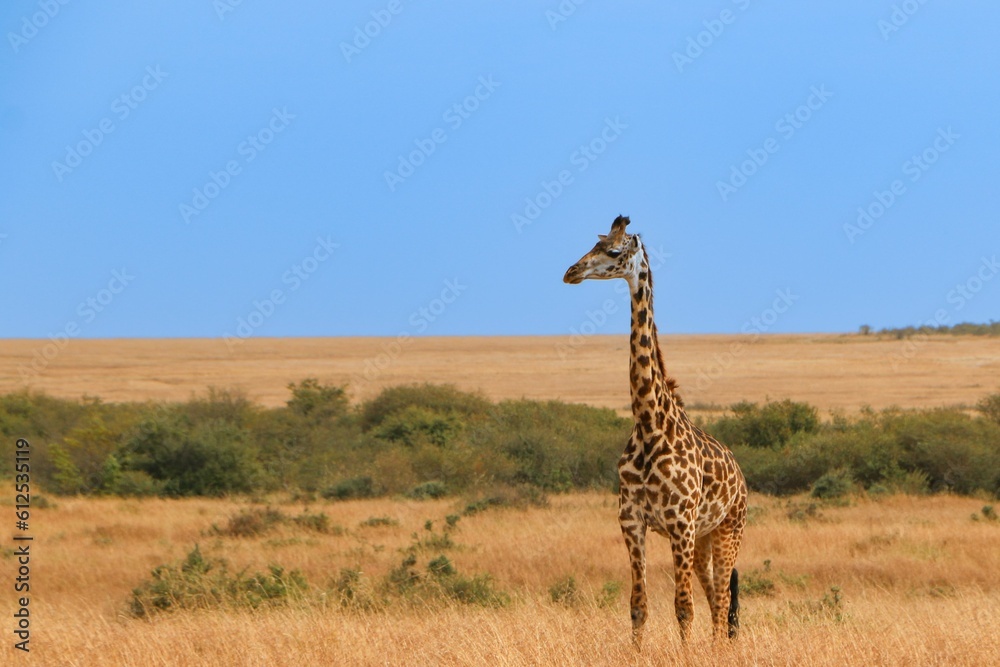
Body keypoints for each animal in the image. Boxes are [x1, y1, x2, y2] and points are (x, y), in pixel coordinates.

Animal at [563, 215, 748, 646]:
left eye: (614, 251)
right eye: (592, 244)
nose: (571, 272)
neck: (650, 424)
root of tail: (741, 477)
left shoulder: (680, 522)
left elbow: (683, 608)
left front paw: (685, 654)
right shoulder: (632, 520)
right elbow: (638, 607)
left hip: (727, 529)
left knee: (719, 602)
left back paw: (718, 651)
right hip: (702, 539)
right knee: (715, 599)